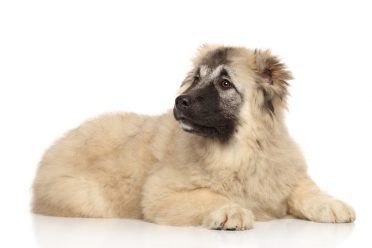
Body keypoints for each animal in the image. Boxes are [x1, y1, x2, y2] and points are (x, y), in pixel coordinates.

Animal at [32, 44, 354, 231]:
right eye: (197, 78)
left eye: (224, 83)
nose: (180, 101)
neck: (238, 152)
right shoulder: (162, 194)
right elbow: (208, 195)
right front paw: (229, 210)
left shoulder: (286, 177)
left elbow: (306, 191)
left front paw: (330, 204)